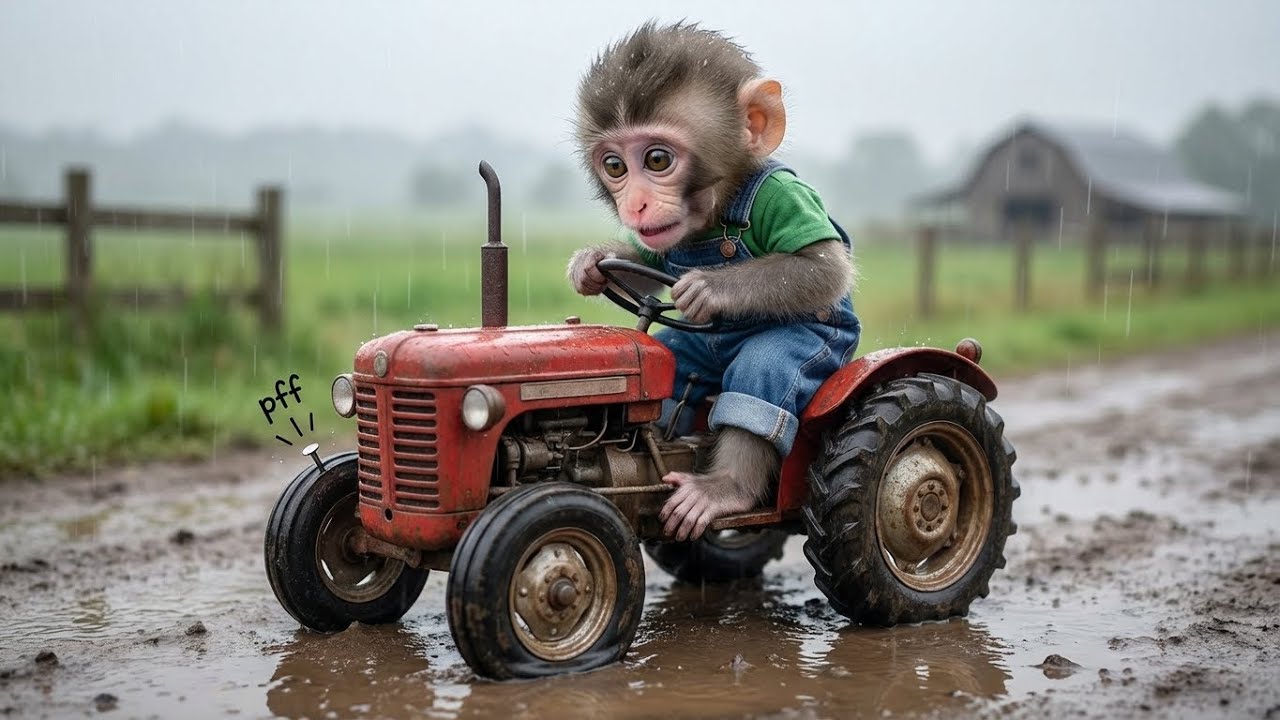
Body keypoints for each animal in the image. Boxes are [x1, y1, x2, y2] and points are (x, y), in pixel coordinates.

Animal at [568, 22, 861, 542]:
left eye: (657, 160)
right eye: (615, 166)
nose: (636, 205)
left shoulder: (784, 195)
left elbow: (823, 265)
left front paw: (706, 289)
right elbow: (643, 257)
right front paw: (591, 262)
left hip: (820, 351)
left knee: (758, 389)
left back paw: (721, 491)